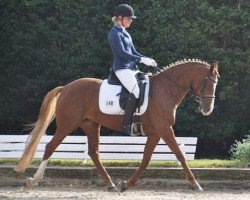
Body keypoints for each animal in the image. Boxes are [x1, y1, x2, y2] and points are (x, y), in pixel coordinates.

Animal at [15, 59, 219, 192]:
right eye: (209, 83)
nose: (207, 109)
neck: (166, 90)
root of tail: (66, 87)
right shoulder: (165, 129)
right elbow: (180, 155)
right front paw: (195, 184)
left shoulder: (155, 133)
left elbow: (146, 160)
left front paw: (126, 184)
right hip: (67, 125)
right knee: (50, 146)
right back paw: (33, 180)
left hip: (91, 125)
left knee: (94, 153)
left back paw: (110, 184)